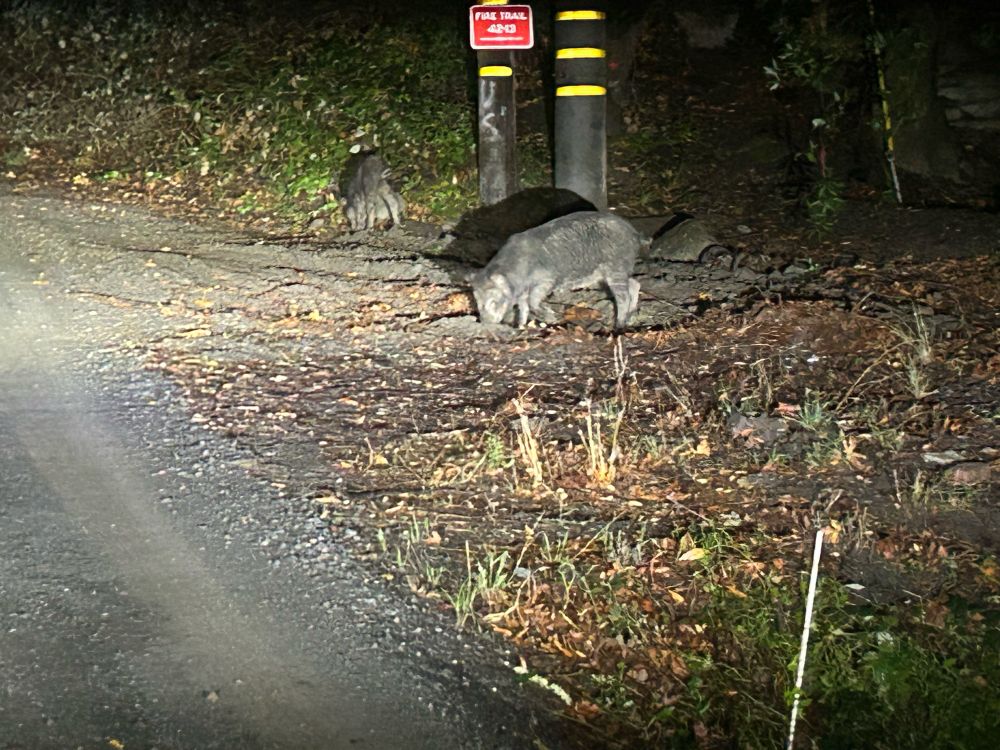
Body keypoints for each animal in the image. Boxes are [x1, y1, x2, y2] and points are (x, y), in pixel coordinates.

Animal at [470, 211, 642, 329]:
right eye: (477, 301)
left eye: (493, 301)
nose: (484, 323)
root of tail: (634, 232)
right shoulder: (522, 293)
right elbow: (523, 308)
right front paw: (521, 327)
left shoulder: (546, 280)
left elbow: (532, 301)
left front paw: (552, 318)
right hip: (608, 275)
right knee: (635, 283)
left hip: (616, 267)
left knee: (623, 295)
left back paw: (618, 326)